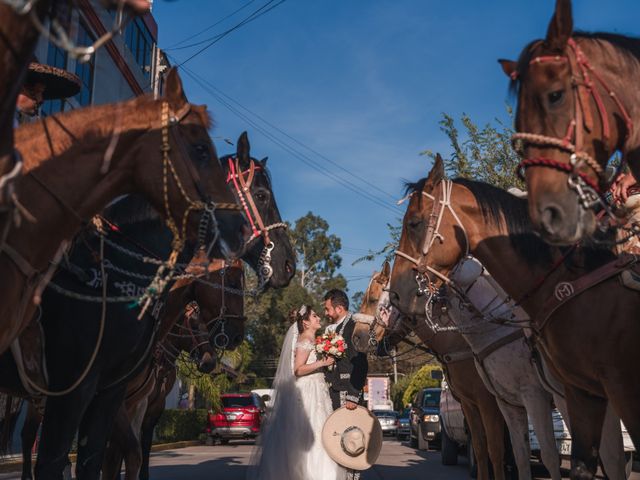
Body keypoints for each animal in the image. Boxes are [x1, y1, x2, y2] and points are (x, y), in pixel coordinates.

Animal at [350, 262, 510, 480]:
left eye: (373, 299)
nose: (356, 337)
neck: (459, 339)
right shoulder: (470, 404)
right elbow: (480, 448)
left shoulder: (488, 401)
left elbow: (495, 450)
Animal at [390, 157, 640, 480]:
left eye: (414, 223)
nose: (397, 294)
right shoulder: (553, 396)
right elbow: (523, 456)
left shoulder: (551, 394)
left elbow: (543, 453)